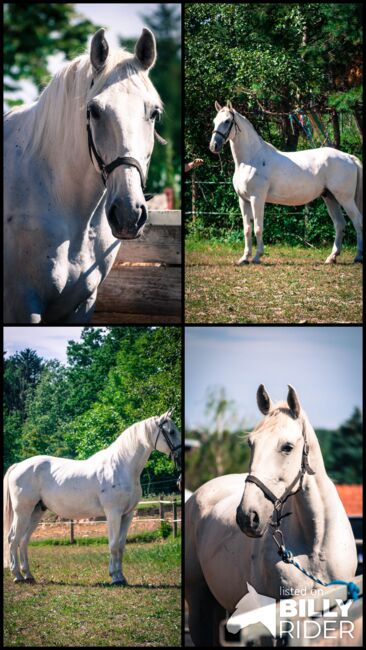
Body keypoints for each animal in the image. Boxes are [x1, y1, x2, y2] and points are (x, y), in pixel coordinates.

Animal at [2, 412, 180, 584]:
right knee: (13, 539)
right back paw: (17, 575)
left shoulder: (127, 515)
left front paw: (121, 576)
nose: (179, 457)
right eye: (171, 432)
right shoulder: (113, 513)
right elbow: (113, 545)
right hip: (23, 512)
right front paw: (115, 578)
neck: (121, 466)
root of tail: (18, 465)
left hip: (36, 512)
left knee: (23, 540)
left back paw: (28, 575)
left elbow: (121, 546)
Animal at [210, 101, 362, 264]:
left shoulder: (257, 199)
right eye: (214, 121)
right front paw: (244, 258)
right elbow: (247, 229)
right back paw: (331, 257)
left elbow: (258, 227)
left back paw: (358, 256)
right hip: (330, 197)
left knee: (357, 221)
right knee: (340, 224)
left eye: (227, 121)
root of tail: (349, 157)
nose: (214, 146)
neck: (251, 159)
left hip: (345, 199)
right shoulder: (243, 200)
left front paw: (257, 256)